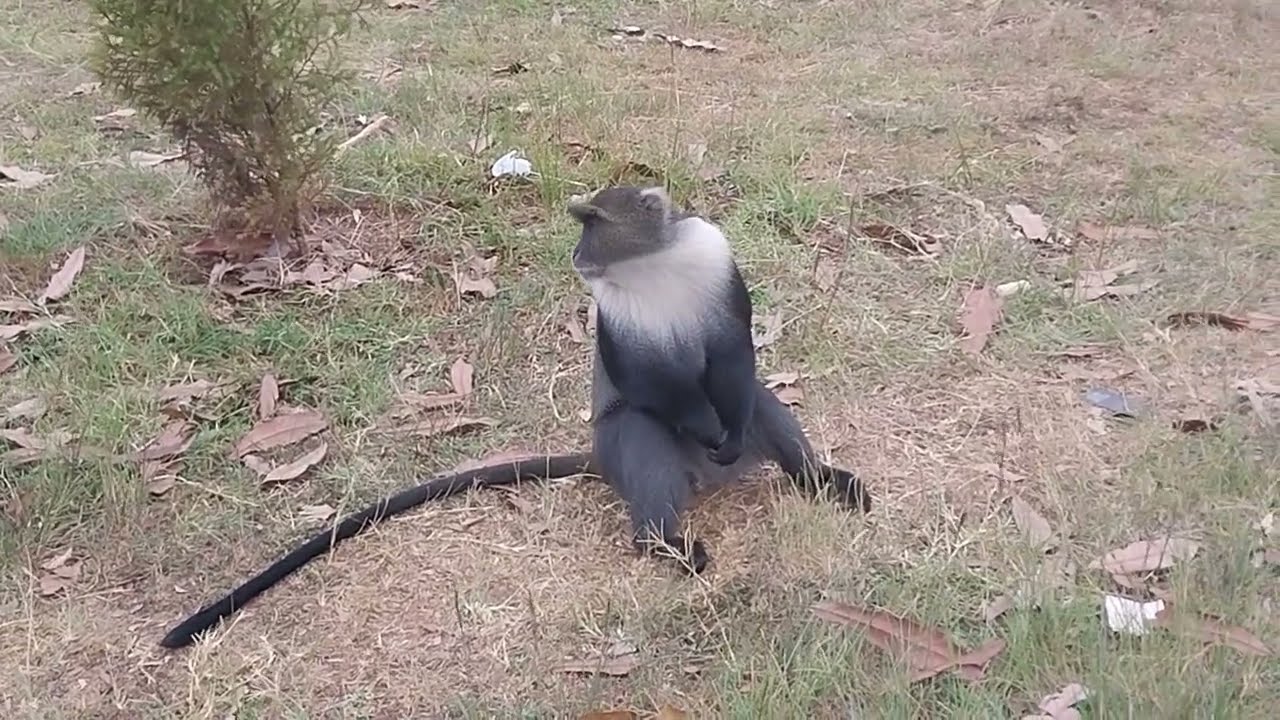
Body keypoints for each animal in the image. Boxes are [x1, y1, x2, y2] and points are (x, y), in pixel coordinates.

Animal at [156, 185, 870, 650]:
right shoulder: (618, 320)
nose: (577, 254)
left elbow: (735, 353)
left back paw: (819, 479)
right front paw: (696, 423)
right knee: (640, 429)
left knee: (765, 407)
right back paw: (665, 543)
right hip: (623, 443)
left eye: (593, 221)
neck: (652, 264)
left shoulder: (713, 261)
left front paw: (744, 423)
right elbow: (645, 379)